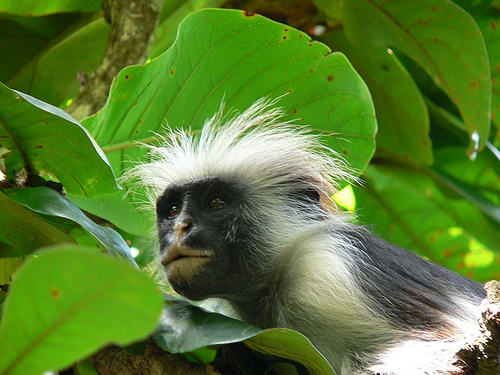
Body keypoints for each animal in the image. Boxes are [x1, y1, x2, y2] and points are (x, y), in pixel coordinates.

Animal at [127, 98, 486, 374]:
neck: (271, 292)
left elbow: (441, 342)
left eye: (215, 202)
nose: (180, 227)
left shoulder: (329, 265)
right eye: (173, 210)